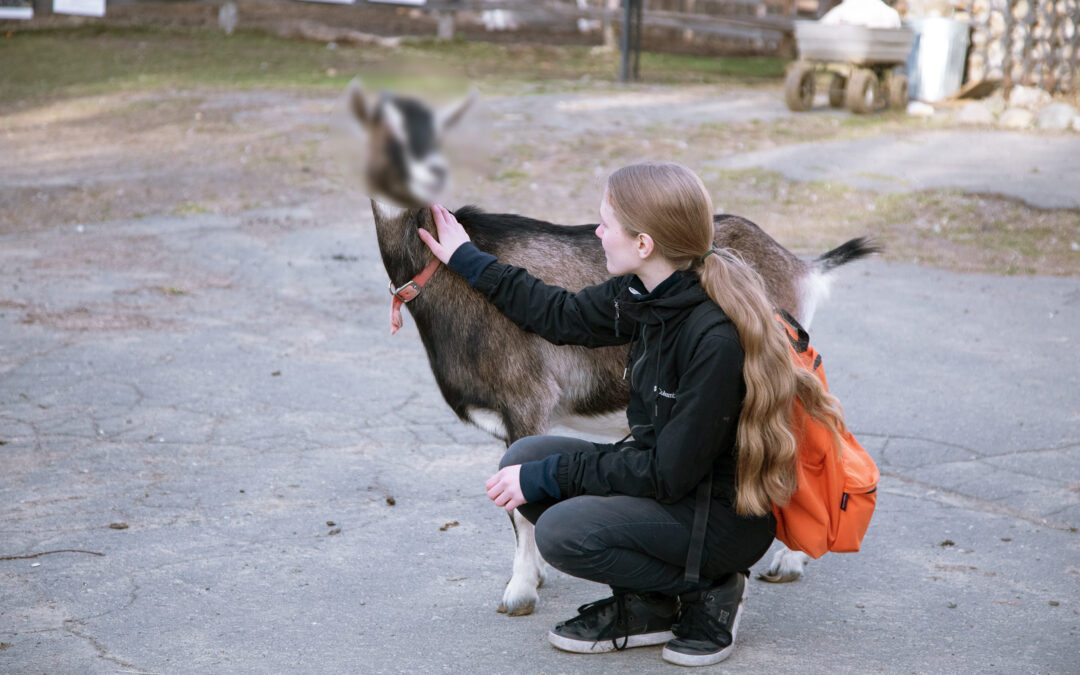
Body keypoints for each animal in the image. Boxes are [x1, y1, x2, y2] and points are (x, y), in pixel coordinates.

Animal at [345, 81, 876, 613]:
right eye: (383, 128)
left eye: (436, 131)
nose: (433, 172)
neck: (443, 275)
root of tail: (799, 266)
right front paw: (537, 577)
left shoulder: (526, 400)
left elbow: (517, 505)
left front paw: (520, 591)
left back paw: (787, 563)